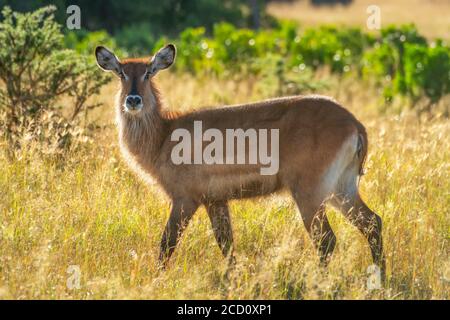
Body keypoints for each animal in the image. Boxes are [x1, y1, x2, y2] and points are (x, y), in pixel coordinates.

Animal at [95, 43, 386, 278]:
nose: (133, 100)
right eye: (121, 73)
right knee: (373, 223)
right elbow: (226, 245)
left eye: (148, 72)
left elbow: (167, 243)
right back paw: (379, 280)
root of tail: (355, 124)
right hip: (341, 188)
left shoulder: (185, 199)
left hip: (311, 193)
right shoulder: (215, 200)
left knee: (326, 240)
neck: (163, 135)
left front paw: (157, 280)